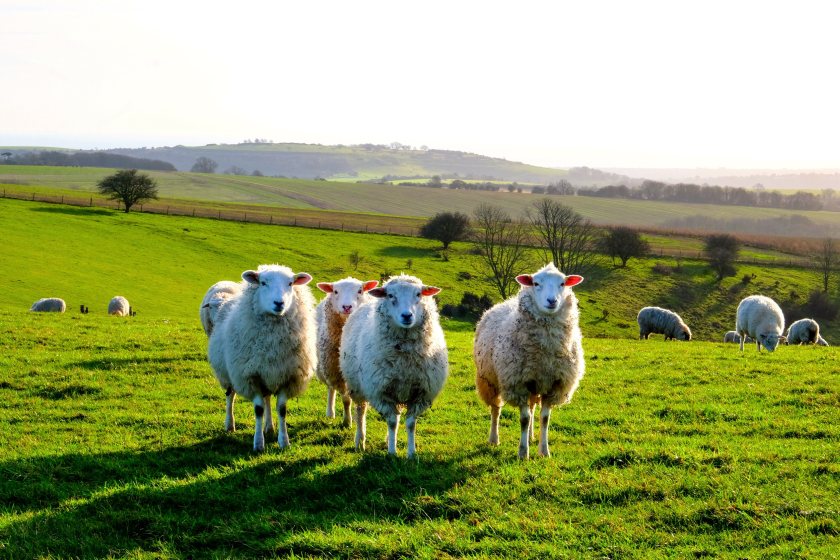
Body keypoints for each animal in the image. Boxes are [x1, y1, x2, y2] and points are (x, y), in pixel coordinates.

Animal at [208, 264, 318, 452]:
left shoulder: (286, 377)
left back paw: (269, 427)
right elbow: (258, 410)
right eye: (263, 283)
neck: (273, 344)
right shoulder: (251, 377)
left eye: (290, 283)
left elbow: (281, 409)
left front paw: (284, 441)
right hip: (228, 374)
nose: (279, 303)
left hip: (269, 374)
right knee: (230, 396)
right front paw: (258, 444)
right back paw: (230, 424)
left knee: (267, 399)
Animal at [316, 278, 378, 426]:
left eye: (360, 290)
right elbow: (345, 399)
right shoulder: (338, 374)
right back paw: (330, 412)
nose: (347, 307)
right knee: (330, 388)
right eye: (335, 291)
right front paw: (347, 422)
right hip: (326, 367)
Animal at [340, 274, 450, 458]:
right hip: (357, 386)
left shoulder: (420, 394)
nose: (407, 316)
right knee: (361, 411)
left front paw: (411, 453)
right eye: (390, 295)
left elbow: (410, 423)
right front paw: (392, 452)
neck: (404, 361)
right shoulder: (381, 392)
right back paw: (360, 441)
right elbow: (392, 422)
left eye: (419, 294)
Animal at [472, 262, 584, 460]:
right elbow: (523, 419)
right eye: (536, 283)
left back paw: (532, 436)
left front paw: (544, 451)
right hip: (490, 381)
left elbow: (544, 419)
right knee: (495, 409)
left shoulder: (554, 385)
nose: (552, 301)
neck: (545, 352)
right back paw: (494, 439)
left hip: (535, 384)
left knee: (532, 409)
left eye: (562, 283)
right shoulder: (518, 384)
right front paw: (523, 453)